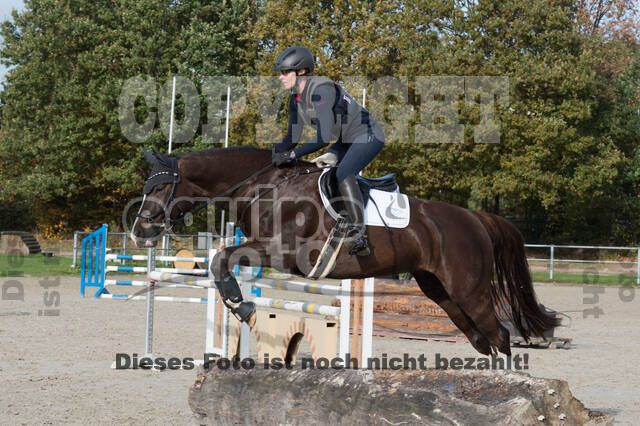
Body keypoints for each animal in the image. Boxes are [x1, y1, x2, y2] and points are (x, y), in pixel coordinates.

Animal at [131, 146, 560, 356]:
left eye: (159, 187)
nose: (139, 231)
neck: (265, 187)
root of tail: (475, 218)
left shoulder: (282, 252)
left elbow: (222, 260)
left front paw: (245, 308)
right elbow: (221, 263)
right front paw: (242, 306)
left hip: (468, 289)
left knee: (499, 336)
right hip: (441, 292)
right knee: (481, 339)